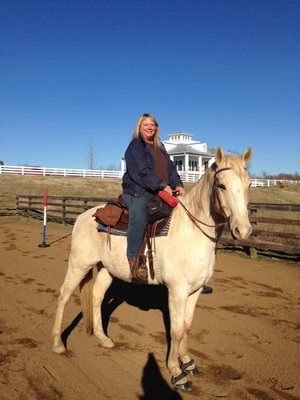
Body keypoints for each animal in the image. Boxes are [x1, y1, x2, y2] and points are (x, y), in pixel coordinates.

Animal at [52, 146, 253, 390]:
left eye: (249, 184)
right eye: (221, 185)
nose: (242, 230)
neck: (191, 230)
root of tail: (83, 216)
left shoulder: (195, 291)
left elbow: (186, 326)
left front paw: (187, 361)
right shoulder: (177, 291)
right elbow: (176, 331)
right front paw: (176, 372)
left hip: (106, 270)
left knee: (97, 297)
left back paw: (103, 339)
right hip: (79, 264)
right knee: (63, 296)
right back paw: (58, 344)